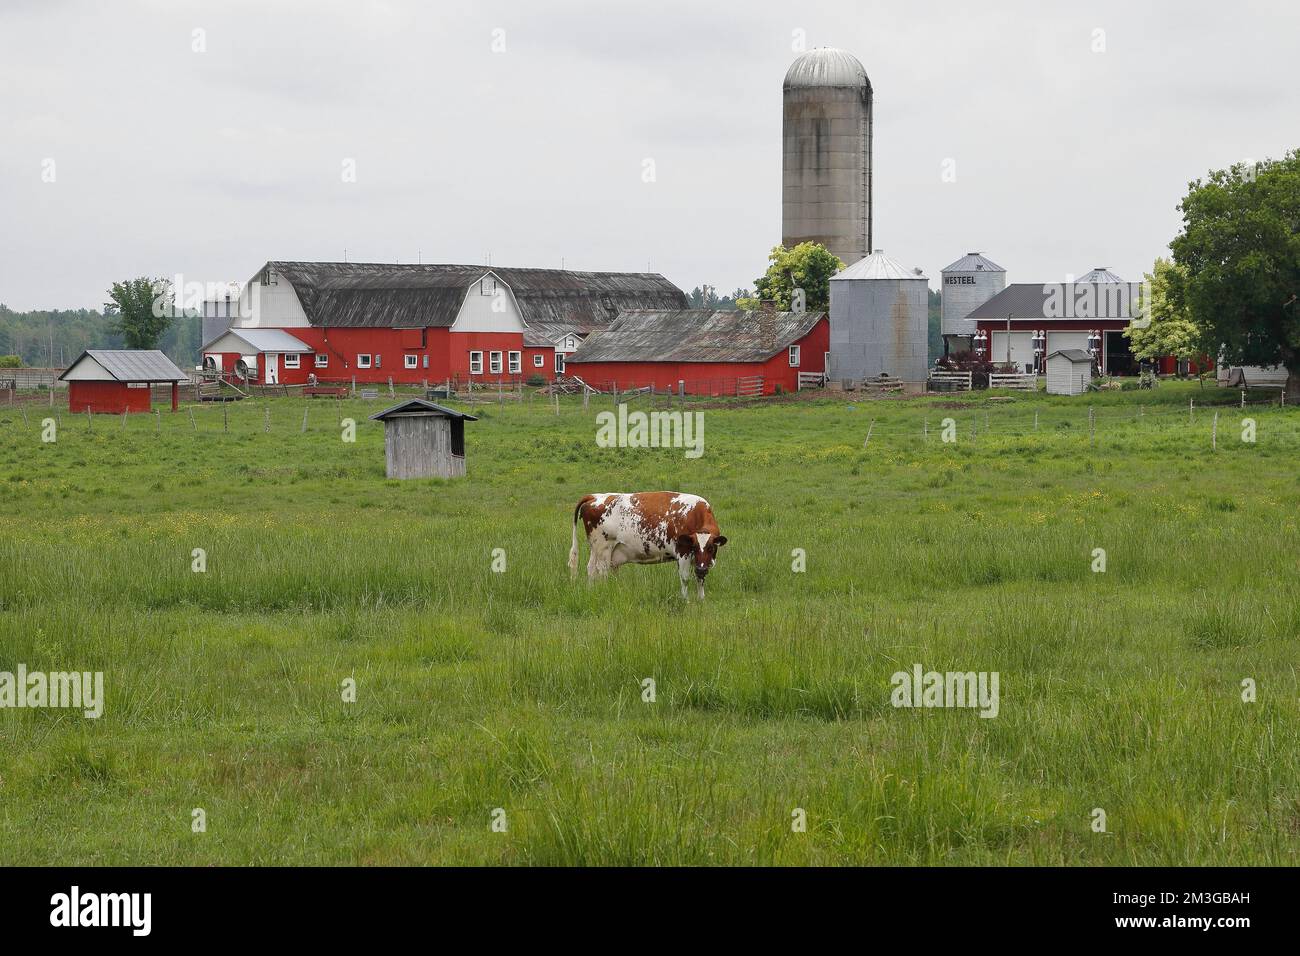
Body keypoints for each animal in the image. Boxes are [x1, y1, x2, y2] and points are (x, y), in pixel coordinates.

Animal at [569, 494, 728, 598]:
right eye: (694, 547)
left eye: (711, 548)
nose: (701, 569)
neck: (694, 515)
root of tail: (594, 496)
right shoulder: (683, 552)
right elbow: (685, 578)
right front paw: (685, 600)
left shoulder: (699, 561)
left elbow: (700, 579)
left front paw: (701, 600)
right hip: (603, 549)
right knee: (601, 571)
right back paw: (604, 592)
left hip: (596, 549)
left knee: (591, 569)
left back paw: (592, 591)